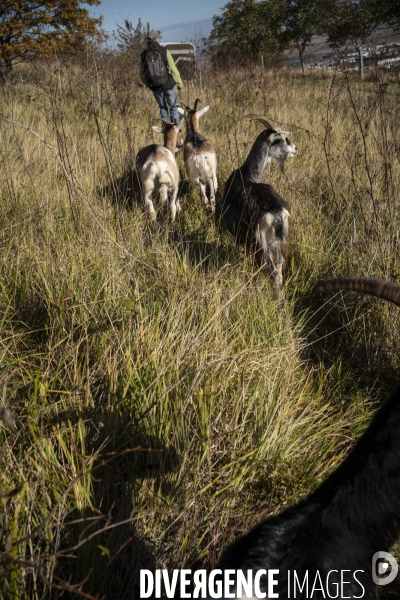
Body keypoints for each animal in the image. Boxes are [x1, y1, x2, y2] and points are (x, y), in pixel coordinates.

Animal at [219, 115, 296, 292]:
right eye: (282, 139)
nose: (295, 149)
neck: (246, 173)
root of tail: (276, 215)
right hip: (279, 243)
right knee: (279, 268)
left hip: (262, 243)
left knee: (273, 271)